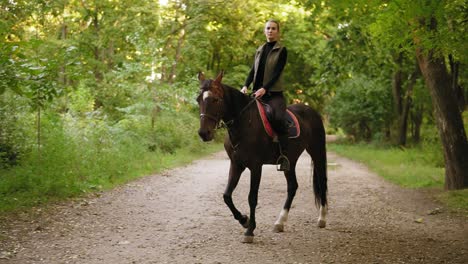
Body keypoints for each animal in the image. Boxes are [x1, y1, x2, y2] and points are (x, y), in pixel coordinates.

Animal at [196, 71, 328, 242]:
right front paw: (244, 220)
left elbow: (252, 197)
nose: (203, 133)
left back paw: (322, 218)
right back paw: (280, 222)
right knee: (292, 186)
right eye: (198, 99)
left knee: (322, 181)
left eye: (215, 100)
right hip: (290, 161)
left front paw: (250, 230)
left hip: (317, 151)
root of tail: (311, 110)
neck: (244, 123)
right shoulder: (236, 164)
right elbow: (227, 196)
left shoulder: (256, 166)